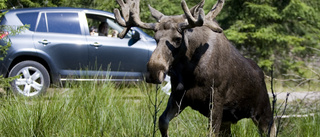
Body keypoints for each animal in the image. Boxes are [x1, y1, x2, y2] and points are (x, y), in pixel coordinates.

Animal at [114, 0, 276, 136]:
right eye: (156, 38)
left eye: (178, 39)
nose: (154, 72)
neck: (188, 70)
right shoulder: (178, 96)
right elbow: (162, 122)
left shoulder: (216, 100)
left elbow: (211, 133)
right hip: (229, 119)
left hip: (263, 112)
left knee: (272, 128)